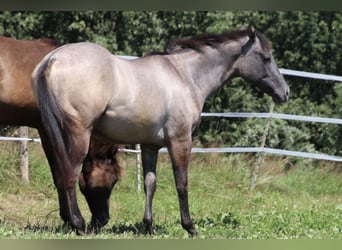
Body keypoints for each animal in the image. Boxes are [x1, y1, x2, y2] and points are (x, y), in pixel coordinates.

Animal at [31, 26, 288, 235]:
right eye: (266, 58)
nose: (284, 92)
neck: (185, 75)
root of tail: (52, 59)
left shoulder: (150, 146)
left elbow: (150, 183)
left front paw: (149, 226)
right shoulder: (180, 141)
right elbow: (182, 184)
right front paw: (190, 227)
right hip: (77, 135)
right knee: (69, 175)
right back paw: (79, 225)